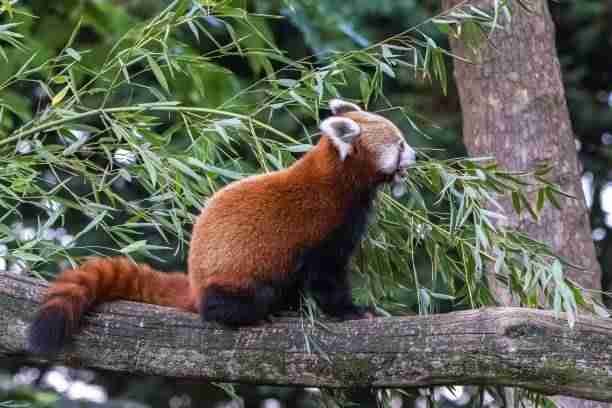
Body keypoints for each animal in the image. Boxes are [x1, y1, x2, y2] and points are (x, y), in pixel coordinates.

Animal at [28, 99, 416, 354]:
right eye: (399, 144)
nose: (415, 156)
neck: (338, 178)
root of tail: (194, 283)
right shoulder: (326, 225)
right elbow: (327, 279)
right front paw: (351, 311)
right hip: (232, 278)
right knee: (240, 300)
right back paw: (252, 314)